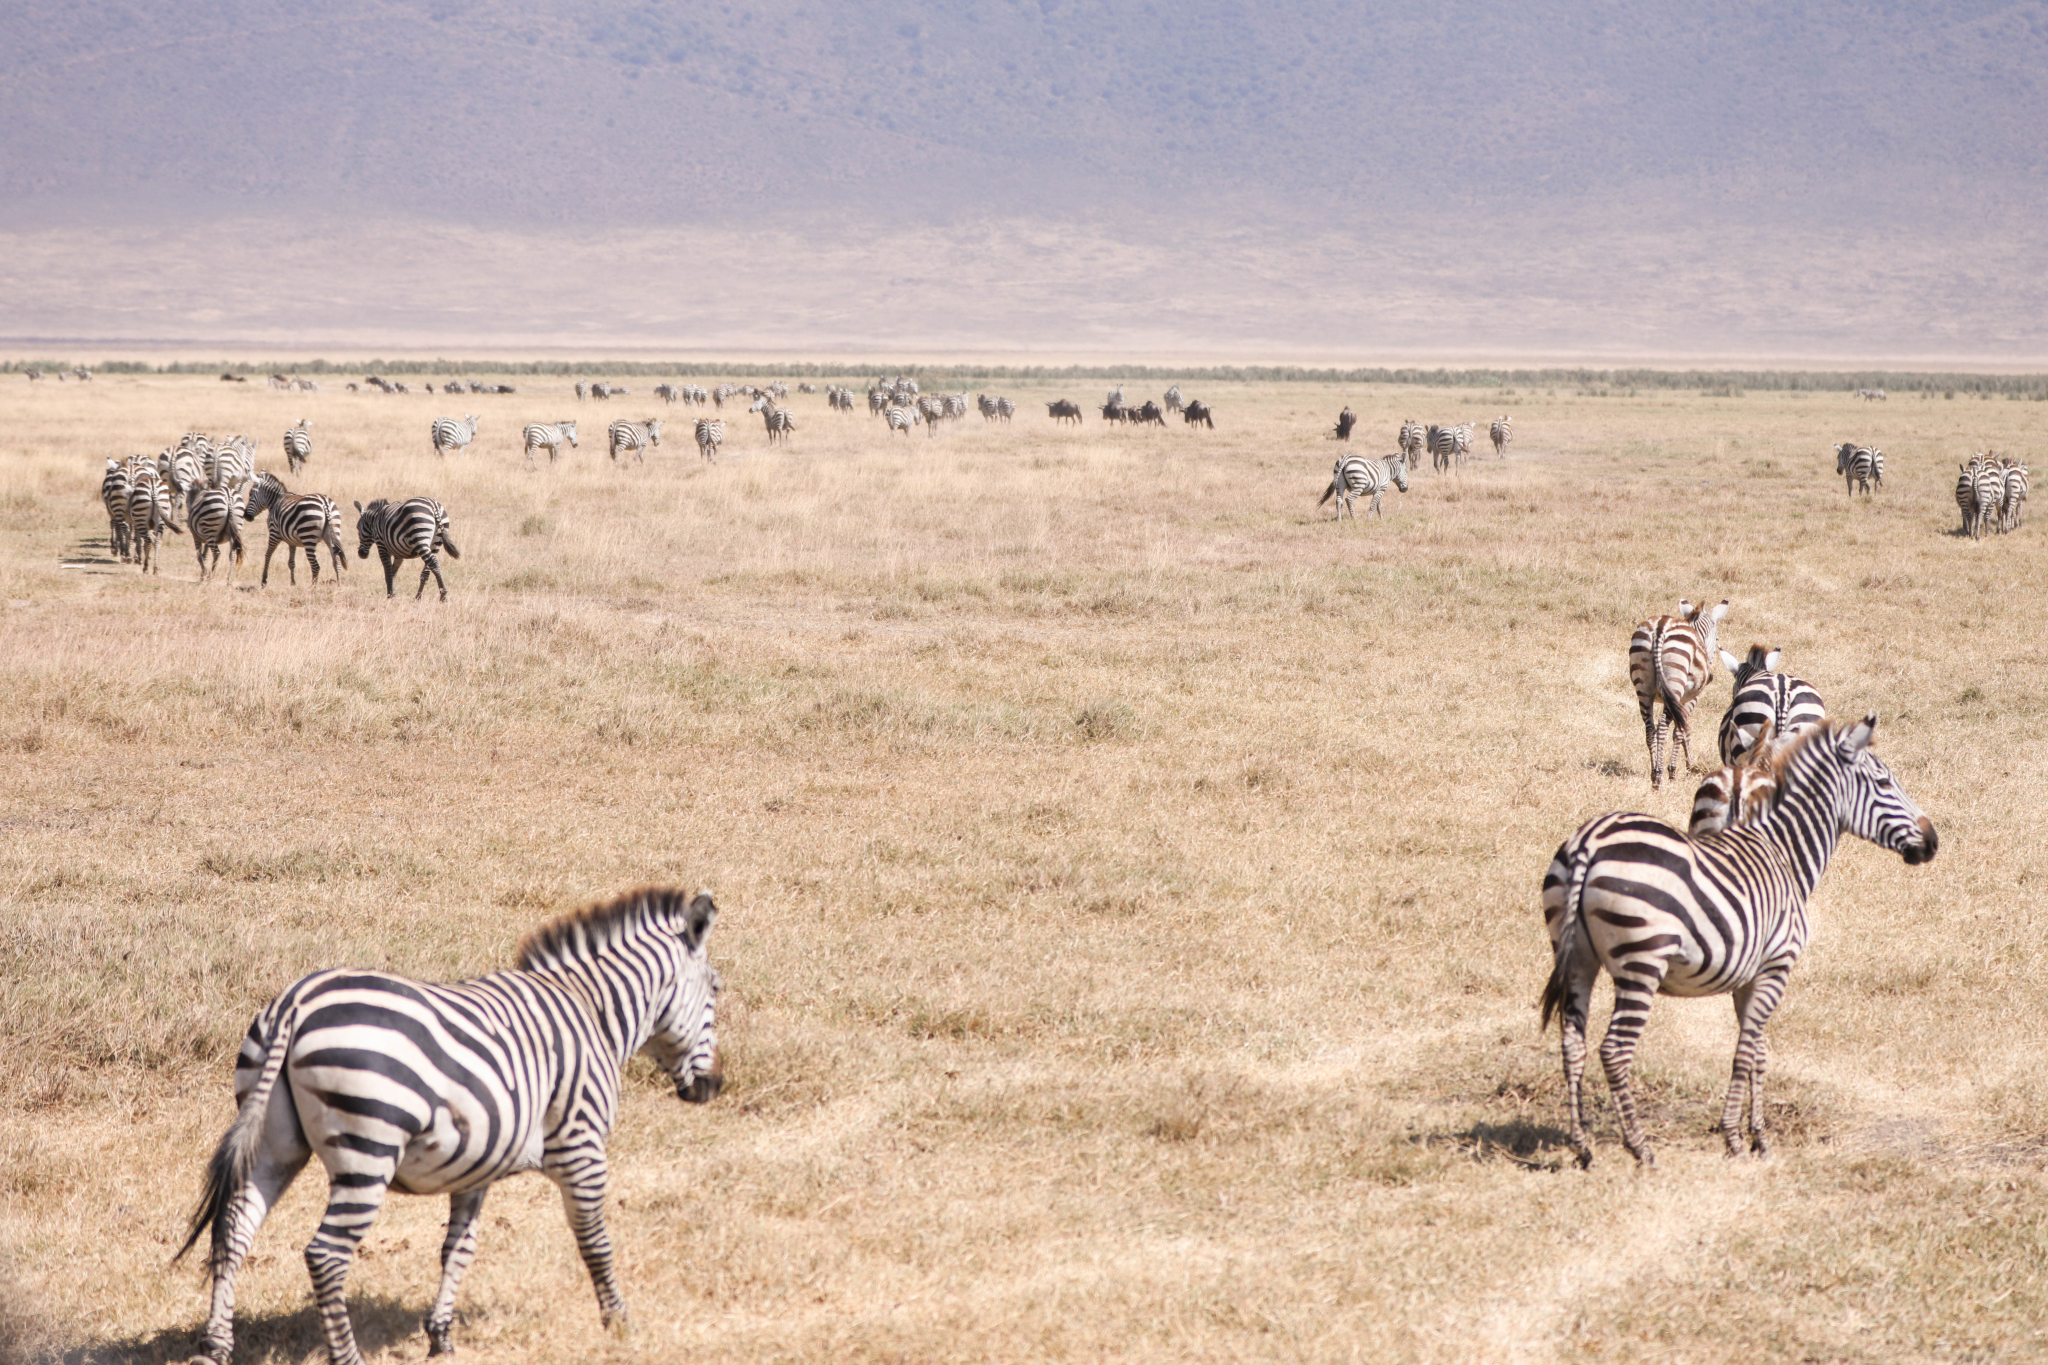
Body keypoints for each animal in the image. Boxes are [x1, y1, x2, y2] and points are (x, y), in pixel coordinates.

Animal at [174, 888, 729, 1365]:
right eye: (717, 991)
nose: (712, 1087)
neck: (592, 1013)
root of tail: (297, 1002)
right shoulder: (582, 1145)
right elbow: (594, 1240)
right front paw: (618, 1322)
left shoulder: (478, 1162)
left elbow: (458, 1248)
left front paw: (441, 1338)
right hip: (368, 1148)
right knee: (325, 1254)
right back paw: (347, 1357)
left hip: (274, 1143)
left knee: (234, 1230)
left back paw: (215, 1348)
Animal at [1540, 720, 1941, 1170]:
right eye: (1885, 782)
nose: (1932, 841)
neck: (1784, 854)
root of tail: (1589, 843)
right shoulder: (1776, 966)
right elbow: (1746, 1050)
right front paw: (1734, 1137)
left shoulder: (1745, 976)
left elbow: (1758, 1049)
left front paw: (1758, 1134)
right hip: (1642, 962)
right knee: (1614, 1050)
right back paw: (1640, 1148)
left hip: (1576, 958)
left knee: (1572, 1044)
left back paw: (1582, 1148)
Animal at [1630, 601, 1728, 789]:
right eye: (1717, 638)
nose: (1711, 676)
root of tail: (1660, 627)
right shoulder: (1689, 699)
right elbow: (1681, 730)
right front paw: (1680, 769)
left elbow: (1682, 729)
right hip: (1674, 684)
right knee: (1662, 726)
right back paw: (1659, 776)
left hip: (1643, 688)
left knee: (1650, 729)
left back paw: (1653, 772)